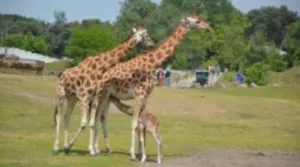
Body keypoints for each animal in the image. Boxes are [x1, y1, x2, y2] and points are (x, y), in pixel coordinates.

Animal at [52, 25, 155, 155]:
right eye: (146, 35)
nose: (152, 44)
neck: (100, 67)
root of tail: (61, 74)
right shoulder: (84, 97)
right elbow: (84, 123)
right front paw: (83, 148)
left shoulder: (93, 97)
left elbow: (91, 122)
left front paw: (90, 150)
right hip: (60, 95)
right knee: (59, 117)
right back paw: (56, 148)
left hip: (72, 98)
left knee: (66, 117)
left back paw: (65, 146)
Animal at [89, 13, 213, 160]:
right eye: (197, 21)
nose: (209, 27)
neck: (152, 65)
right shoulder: (139, 95)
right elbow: (135, 124)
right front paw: (133, 154)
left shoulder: (146, 97)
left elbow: (141, 123)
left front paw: (141, 154)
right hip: (100, 94)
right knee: (95, 116)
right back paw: (93, 149)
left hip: (108, 96)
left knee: (100, 117)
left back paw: (103, 149)